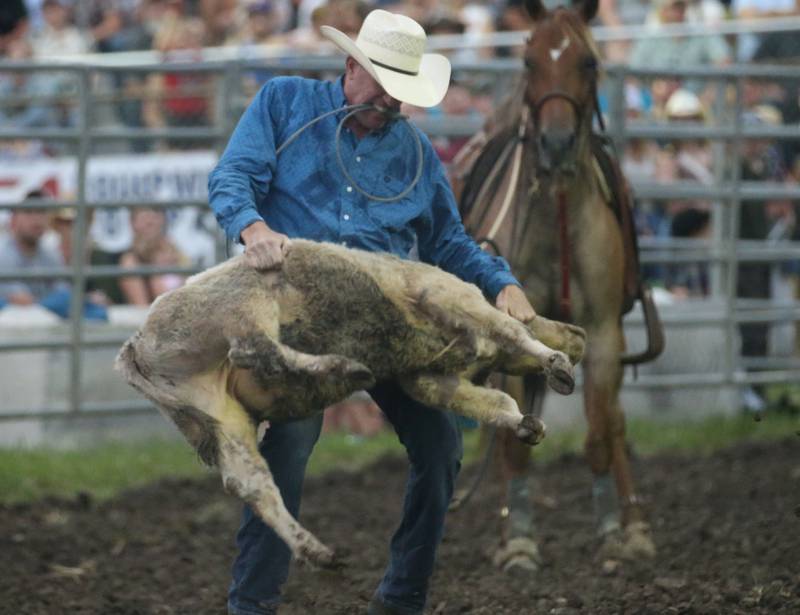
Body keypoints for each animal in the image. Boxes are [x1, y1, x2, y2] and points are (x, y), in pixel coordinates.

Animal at [115, 239, 584, 568]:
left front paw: (528, 424)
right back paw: (344, 367)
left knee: (251, 484)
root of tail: (134, 345)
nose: (578, 335)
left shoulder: (429, 379)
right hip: (244, 304)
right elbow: (513, 331)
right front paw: (556, 363)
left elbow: (496, 398)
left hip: (218, 416)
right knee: (254, 348)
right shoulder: (444, 295)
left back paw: (317, 551)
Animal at [454, 0, 660, 572]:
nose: (557, 143)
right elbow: (513, 444)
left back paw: (637, 525)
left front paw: (613, 532)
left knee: (615, 422)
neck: (560, 214)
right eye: (528, 62)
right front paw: (519, 541)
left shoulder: (605, 333)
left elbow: (599, 434)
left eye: (588, 62)